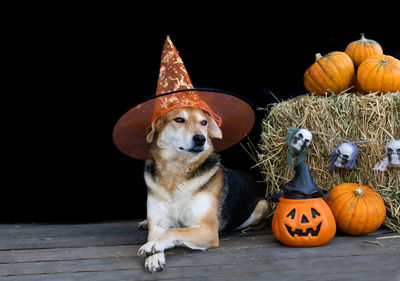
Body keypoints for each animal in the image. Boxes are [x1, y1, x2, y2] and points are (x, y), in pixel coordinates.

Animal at [136, 106, 270, 272]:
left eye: (204, 122)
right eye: (179, 119)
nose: (201, 139)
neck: (176, 172)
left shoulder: (208, 230)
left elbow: (174, 230)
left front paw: (153, 245)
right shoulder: (157, 223)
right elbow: (159, 233)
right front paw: (154, 256)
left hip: (262, 206)